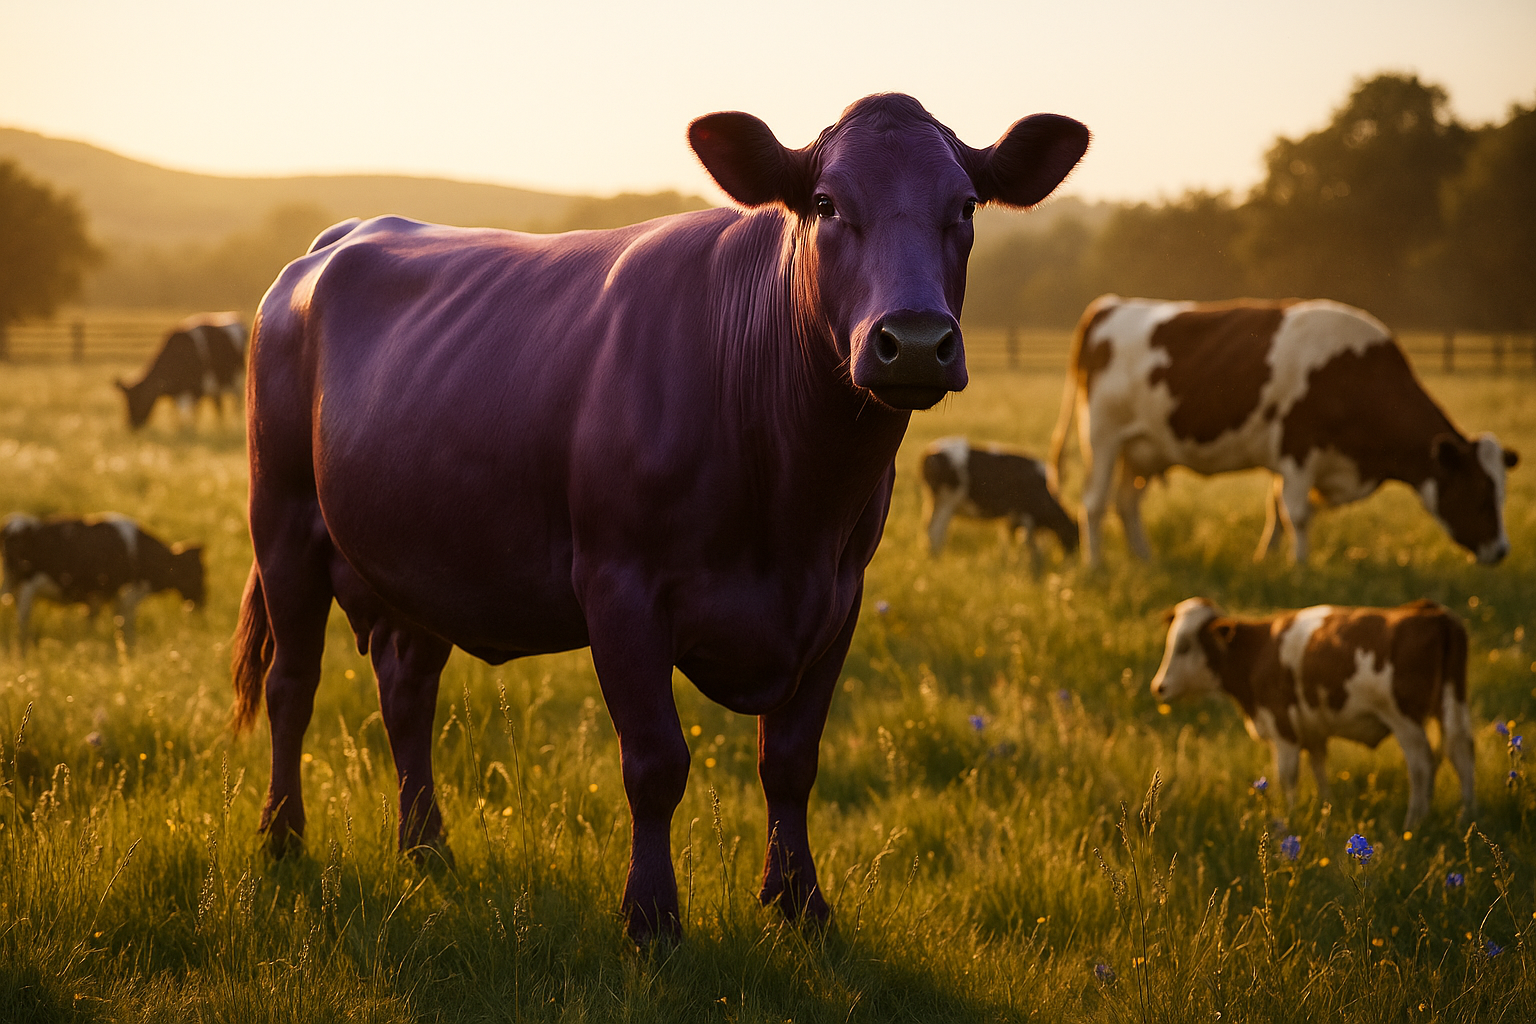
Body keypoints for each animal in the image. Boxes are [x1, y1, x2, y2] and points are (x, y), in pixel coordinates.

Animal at [1, 513, 205, 649]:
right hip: (26, 586)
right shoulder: (126, 593)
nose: (203, 602)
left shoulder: (100, 595)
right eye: (197, 573)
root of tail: (16, 523)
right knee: (23, 617)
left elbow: (96, 619)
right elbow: (124, 621)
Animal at [117, 313, 248, 429]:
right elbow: (177, 415)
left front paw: (190, 429)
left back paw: (235, 426)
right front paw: (180, 429)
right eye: (126, 400)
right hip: (217, 387)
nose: (131, 425)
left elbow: (192, 414)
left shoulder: (196, 389)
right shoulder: (178, 395)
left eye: (139, 400)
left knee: (236, 405)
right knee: (219, 407)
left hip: (237, 382)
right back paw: (220, 426)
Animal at [920, 436, 1078, 568]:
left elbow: (1009, 542)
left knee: (932, 530)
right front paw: (1029, 566)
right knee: (935, 531)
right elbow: (1028, 544)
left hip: (936, 503)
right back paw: (936, 559)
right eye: (1075, 536)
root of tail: (929, 452)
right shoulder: (1027, 517)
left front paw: (1010, 562)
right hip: (946, 502)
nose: (1071, 563)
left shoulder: (1011, 519)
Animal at [1048, 296, 1519, 567]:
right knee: (1094, 504)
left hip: (1144, 450)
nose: (1501, 551)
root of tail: (1110, 305)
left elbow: (1276, 510)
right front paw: (1301, 568)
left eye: (1502, 495)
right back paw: (1096, 567)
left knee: (1126, 503)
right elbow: (1297, 513)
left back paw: (1144, 560)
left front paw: (1267, 559)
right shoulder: (1298, 449)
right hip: (1103, 438)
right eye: (1480, 494)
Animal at [1151, 597, 1474, 831]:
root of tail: (1433, 612)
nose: (1159, 687)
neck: (1259, 653)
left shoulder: (1283, 729)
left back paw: (1414, 823)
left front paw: (1289, 818)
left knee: (1421, 764)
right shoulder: (1313, 732)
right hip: (1452, 701)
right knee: (1460, 752)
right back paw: (1468, 816)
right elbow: (1319, 769)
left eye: (1185, 646)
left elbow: (1287, 777)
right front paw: (1327, 809)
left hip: (1404, 719)